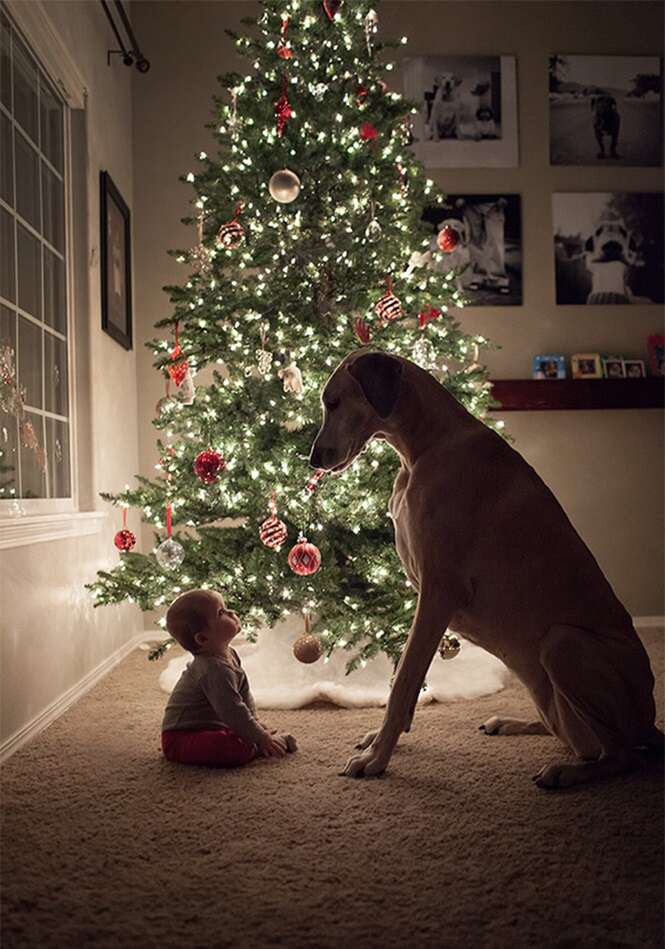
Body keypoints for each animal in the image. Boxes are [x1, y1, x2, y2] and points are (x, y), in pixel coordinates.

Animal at [308, 352, 660, 788]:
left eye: (334, 402)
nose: (312, 459)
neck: (425, 445)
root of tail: (650, 722)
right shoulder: (427, 596)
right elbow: (405, 682)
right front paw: (382, 741)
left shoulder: (439, 592)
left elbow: (404, 680)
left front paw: (377, 758)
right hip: (551, 695)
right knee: (578, 739)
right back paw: (511, 724)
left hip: (564, 643)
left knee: (623, 756)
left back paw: (565, 773)